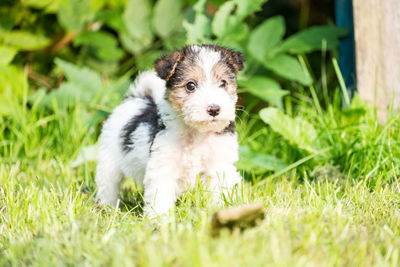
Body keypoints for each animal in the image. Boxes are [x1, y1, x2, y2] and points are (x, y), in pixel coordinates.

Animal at [95, 44, 244, 218]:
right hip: (109, 160)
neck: (196, 133)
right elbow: (160, 197)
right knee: (108, 185)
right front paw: (158, 219)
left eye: (223, 83)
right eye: (190, 85)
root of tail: (139, 98)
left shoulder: (219, 166)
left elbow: (219, 192)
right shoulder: (163, 166)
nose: (214, 109)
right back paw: (107, 208)